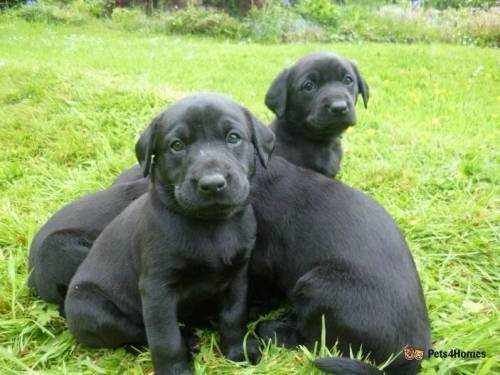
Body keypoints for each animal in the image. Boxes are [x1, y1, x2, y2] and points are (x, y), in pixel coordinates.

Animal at [64, 94, 276, 375]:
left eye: (233, 137)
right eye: (177, 145)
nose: (212, 183)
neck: (211, 225)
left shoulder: (238, 275)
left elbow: (233, 315)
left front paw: (236, 352)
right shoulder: (157, 289)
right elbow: (165, 338)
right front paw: (176, 369)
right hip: (91, 310)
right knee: (134, 333)